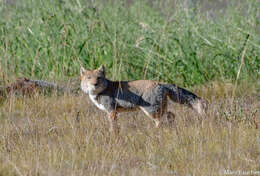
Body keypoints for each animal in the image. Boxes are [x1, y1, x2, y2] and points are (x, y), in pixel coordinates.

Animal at [80, 64, 208, 132]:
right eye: (89, 78)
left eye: (99, 78)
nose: (95, 84)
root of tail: (160, 83)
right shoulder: (113, 112)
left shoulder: (111, 112)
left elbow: (113, 128)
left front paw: (112, 136)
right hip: (160, 109)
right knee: (171, 115)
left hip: (151, 111)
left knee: (159, 121)